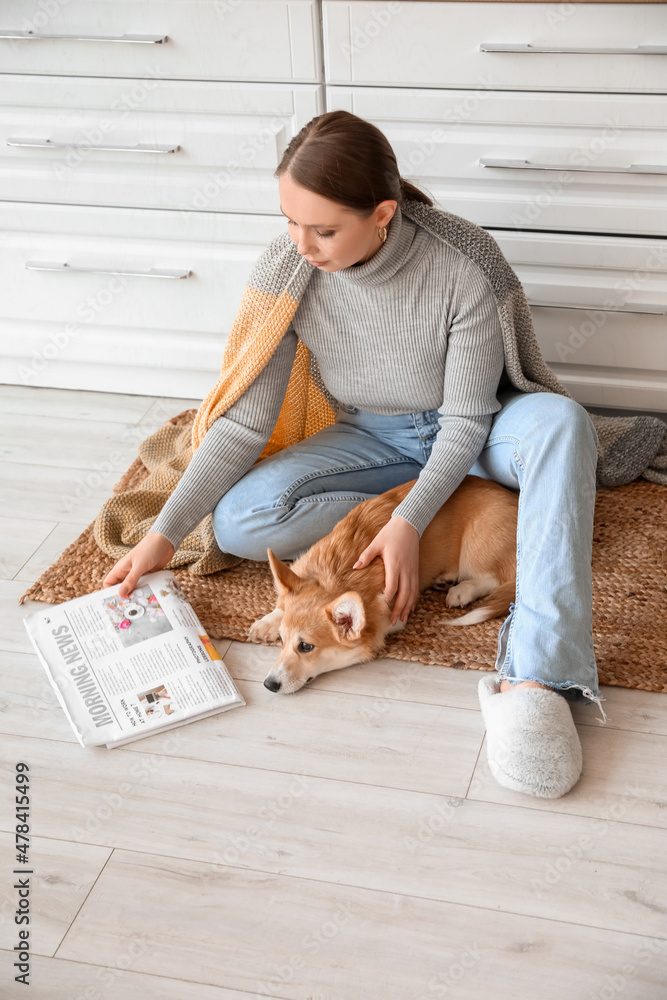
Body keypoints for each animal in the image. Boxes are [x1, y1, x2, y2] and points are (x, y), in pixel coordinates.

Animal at [250, 476, 516, 696]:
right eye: (281, 640)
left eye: (306, 646)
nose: (268, 684)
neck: (336, 574)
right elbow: (282, 607)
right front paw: (266, 622)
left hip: (477, 546)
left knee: (493, 579)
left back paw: (461, 590)